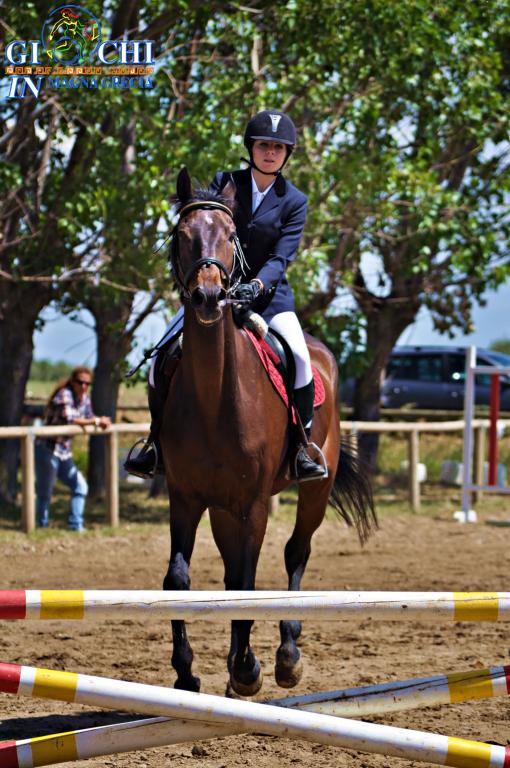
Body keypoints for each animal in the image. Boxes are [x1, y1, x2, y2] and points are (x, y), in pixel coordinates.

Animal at [161, 168, 376, 696]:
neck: (215, 399)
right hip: (221, 506)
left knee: (296, 552)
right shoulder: (185, 496)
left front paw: (246, 670)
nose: (209, 298)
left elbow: (248, 581)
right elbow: (180, 581)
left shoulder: (254, 502)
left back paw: (286, 654)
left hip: (316, 487)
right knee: (229, 568)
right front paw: (187, 672)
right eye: (182, 235)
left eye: (230, 235)